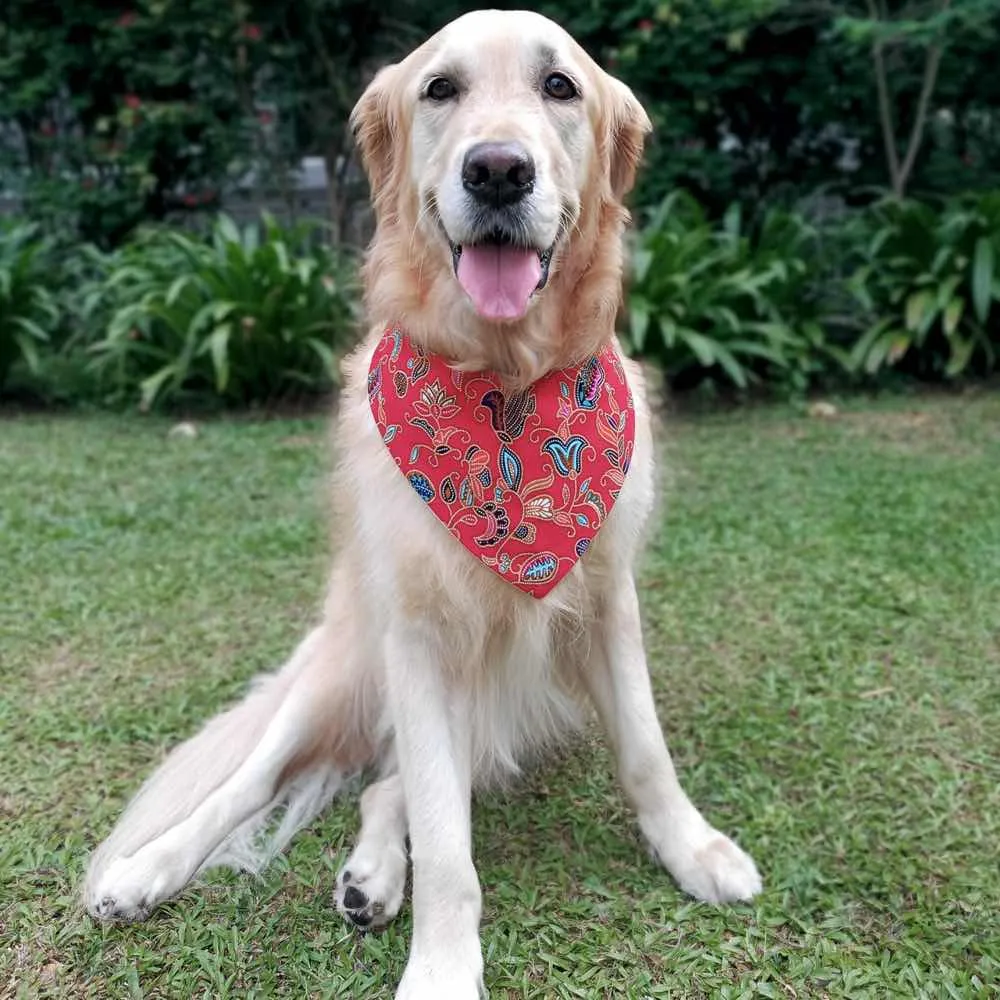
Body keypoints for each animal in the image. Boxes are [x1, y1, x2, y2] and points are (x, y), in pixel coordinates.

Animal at [86, 9, 760, 1000]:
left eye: (560, 87)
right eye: (440, 89)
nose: (498, 170)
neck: (504, 388)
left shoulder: (608, 603)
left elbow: (644, 751)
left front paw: (694, 848)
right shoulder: (417, 639)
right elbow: (447, 846)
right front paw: (443, 967)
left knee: (382, 784)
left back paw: (370, 876)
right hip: (338, 670)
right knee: (253, 784)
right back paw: (150, 870)